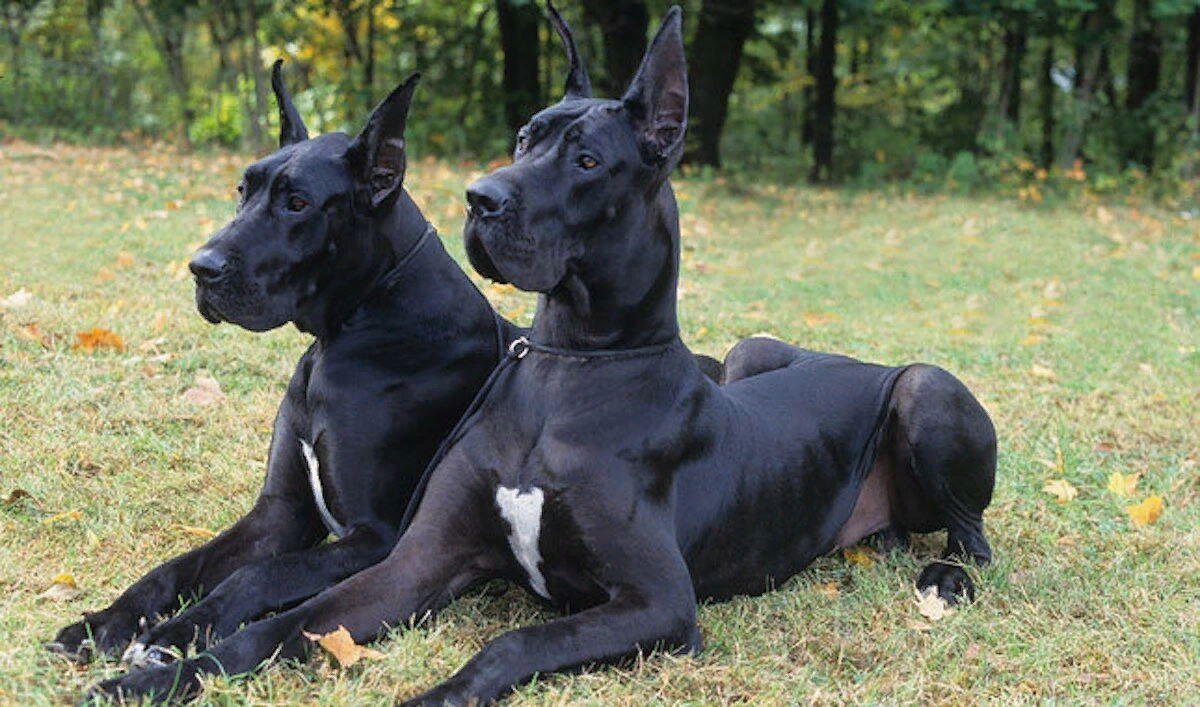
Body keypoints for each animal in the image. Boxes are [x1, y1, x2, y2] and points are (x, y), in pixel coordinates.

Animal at [77, 4, 993, 700]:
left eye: (297, 202)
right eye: (523, 138)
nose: (480, 197)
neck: (567, 368)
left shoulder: (653, 602)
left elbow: (504, 642)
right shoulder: (388, 549)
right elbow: (253, 603)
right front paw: (135, 654)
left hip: (924, 389)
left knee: (975, 538)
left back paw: (946, 580)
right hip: (752, 349)